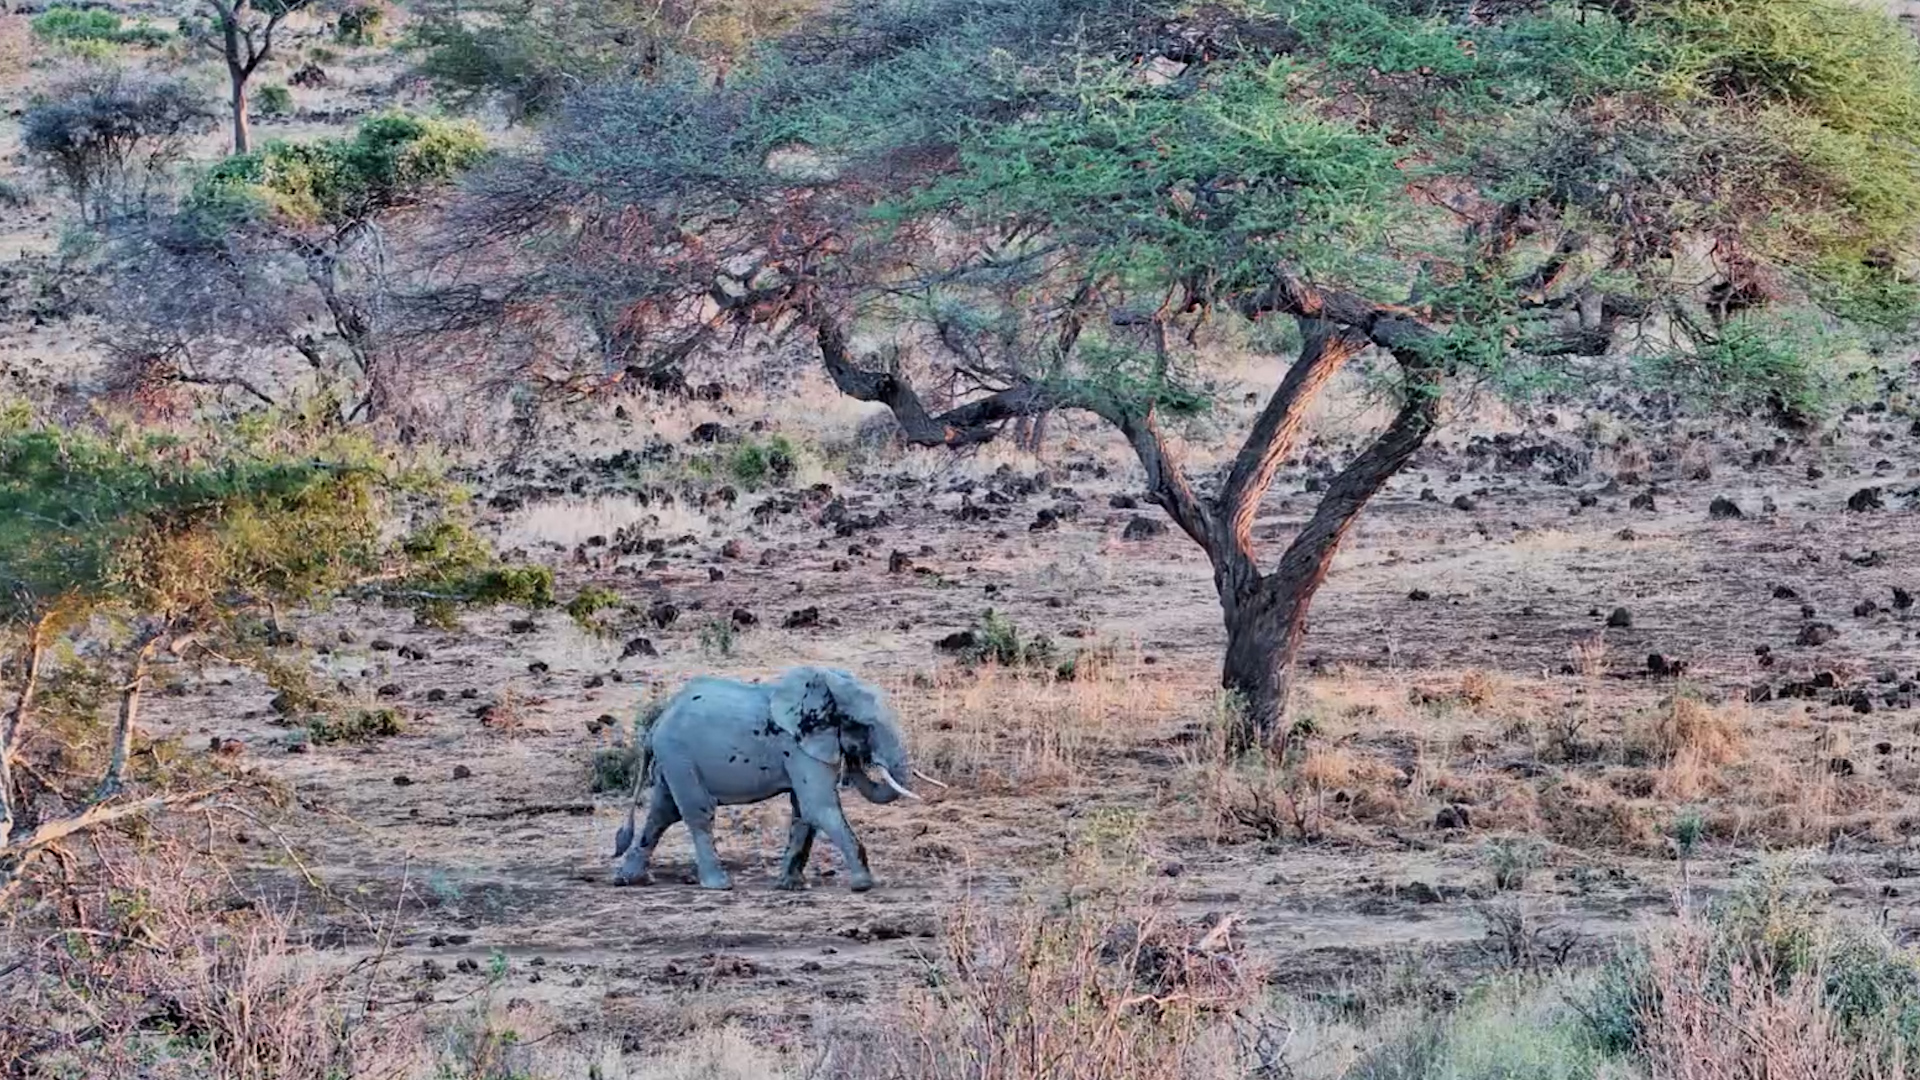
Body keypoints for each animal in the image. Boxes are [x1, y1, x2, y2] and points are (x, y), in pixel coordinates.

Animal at [610, 665, 920, 891]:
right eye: (862, 725)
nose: (857, 756)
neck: (824, 683)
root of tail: (656, 723)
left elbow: (803, 811)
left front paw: (790, 886)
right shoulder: (797, 746)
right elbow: (819, 807)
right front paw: (863, 885)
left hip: (672, 759)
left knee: (662, 812)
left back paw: (629, 880)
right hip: (679, 755)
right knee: (697, 813)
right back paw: (719, 885)